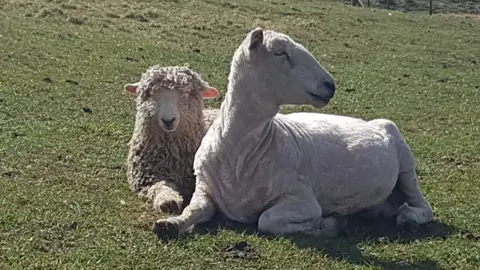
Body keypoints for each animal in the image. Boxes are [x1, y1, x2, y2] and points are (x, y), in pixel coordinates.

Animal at [124, 64, 220, 214]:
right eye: (149, 94)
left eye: (188, 93)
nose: (168, 120)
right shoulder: (148, 177)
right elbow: (160, 186)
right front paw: (168, 201)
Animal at [151, 28, 436, 238]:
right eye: (280, 53)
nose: (330, 85)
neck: (239, 153)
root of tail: (369, 122)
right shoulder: (204, 190)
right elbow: (193, 209)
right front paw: (170, 223)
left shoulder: (302, 199)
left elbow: (267, 220)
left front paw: (327, 224)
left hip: (405, 161)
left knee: (424, 206)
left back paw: (409, 218)